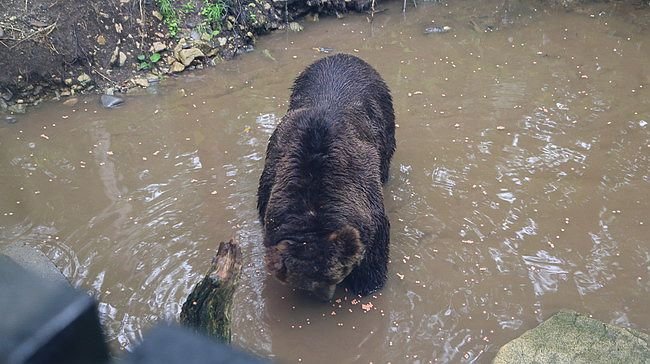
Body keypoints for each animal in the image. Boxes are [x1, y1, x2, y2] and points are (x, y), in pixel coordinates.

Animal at [256, 52, 392, 300]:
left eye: (335, 274)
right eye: (306, 281)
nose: (323, 297)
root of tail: (343, 55)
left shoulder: (364, 191)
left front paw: (367, 283)